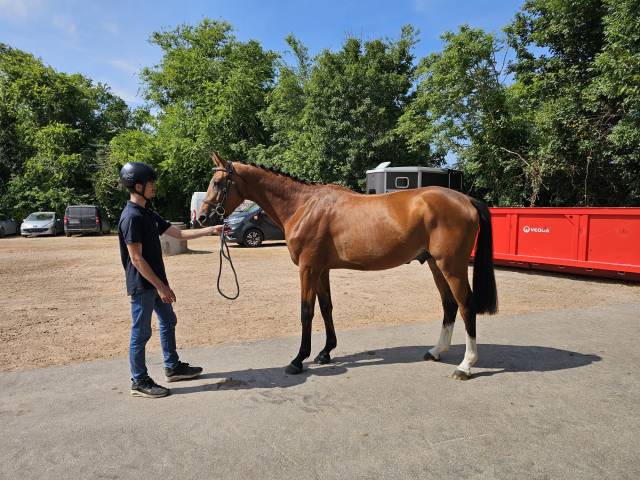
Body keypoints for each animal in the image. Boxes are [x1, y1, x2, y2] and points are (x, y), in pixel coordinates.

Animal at [198, 152, 498, 380]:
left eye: (218, 182)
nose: (201, 217)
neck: (303, 206)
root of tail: (466, 199)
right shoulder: (321, 269)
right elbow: (326, 308)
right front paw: (325, 352)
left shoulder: (308, 268)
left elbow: (306, 312)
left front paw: (298, 360)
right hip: (436, 265)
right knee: (449, 304)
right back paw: (436, 352)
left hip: (452, 266)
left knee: (466, 305)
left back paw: (465, 366)